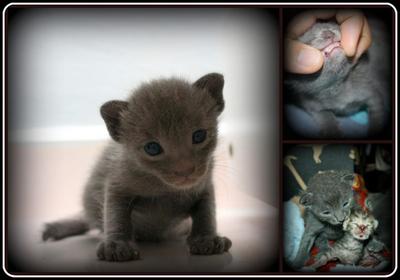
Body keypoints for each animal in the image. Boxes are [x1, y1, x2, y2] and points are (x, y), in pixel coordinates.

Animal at [41, 73, 231, 262]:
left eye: (199, 136)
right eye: (152, 148)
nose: (185, 171)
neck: (165, 189)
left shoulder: (204, 187)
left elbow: (206, 213)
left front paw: (206, 239)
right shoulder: (117, 185)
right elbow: (116, 215)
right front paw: (117, 245)